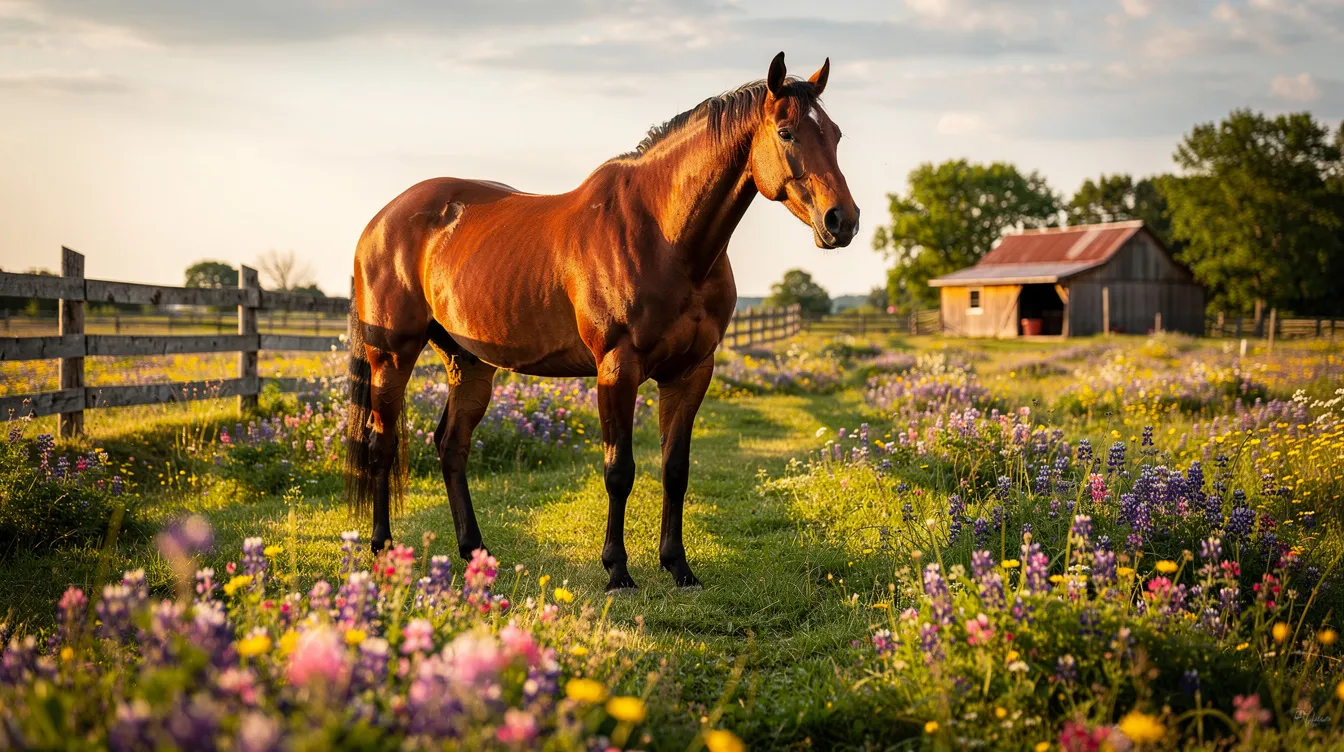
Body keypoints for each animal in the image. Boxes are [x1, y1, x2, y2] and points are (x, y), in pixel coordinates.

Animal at [345, 52, 858, 592]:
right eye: (786, 132)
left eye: (835, 134)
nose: (842, 220)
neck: (664, 236)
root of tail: (380, 223)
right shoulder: (617, 368)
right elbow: (620, 470)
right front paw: (617, 570)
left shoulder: (692, 371)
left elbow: (676, 470)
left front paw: (679, 566)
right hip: (391, 356)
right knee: (381, 445)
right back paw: (382, 547)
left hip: (469, 362)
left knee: (451, 446)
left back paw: (473, 550)